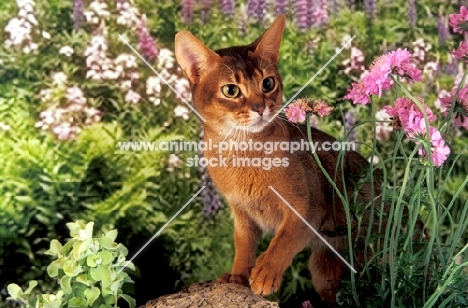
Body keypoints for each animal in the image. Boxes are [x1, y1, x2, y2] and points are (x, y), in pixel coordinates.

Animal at [175, 14, 376, 304]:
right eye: (231, 90)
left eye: (267, 83)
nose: (260, 108)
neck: (243, 154)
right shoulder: (242, 213)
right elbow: (243, 246)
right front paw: (237, 276)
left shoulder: (308, 208)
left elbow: (283, 240)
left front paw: (265, 273)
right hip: (324, 268)